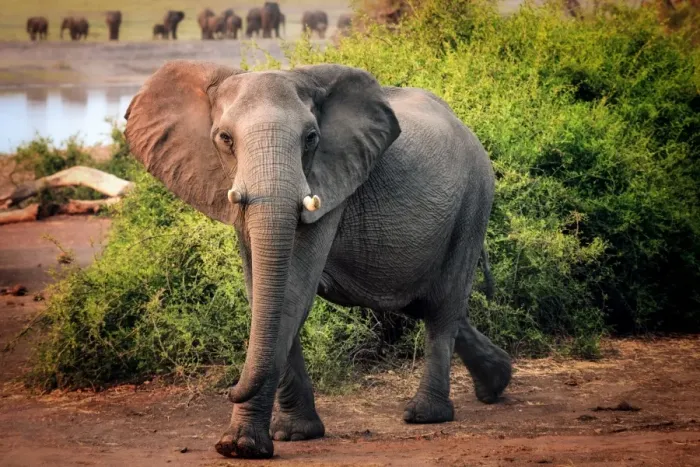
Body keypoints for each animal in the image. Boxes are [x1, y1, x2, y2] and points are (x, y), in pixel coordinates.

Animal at [124, 60, 512, 460]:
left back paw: (426, 414)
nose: (229, 388)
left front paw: (240, 446)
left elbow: (291, 294)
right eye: (224, 139)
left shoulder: (329, 186)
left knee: (442, 307)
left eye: (311, 138)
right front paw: (294, 434)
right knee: (425, 303)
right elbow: (262, 293)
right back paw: (497, 383)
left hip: (474, 201)